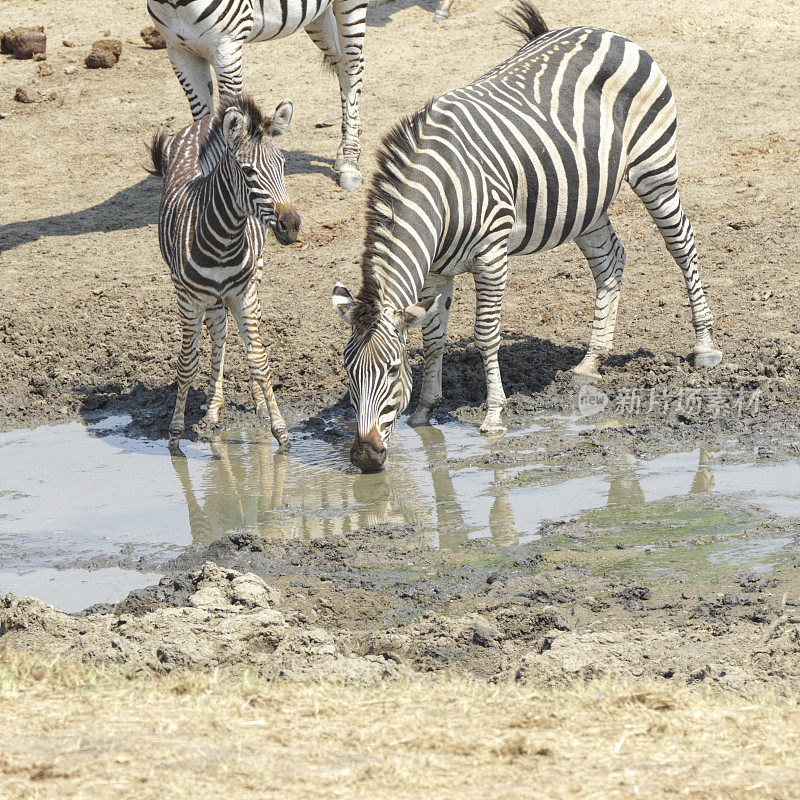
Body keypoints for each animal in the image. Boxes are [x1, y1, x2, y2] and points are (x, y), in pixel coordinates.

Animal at [146, 0, 366, 189]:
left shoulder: (227, 49)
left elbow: (227, 125)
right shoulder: (180, 52)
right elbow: (202, 122)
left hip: (351, 6)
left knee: (352, 71)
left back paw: (350, 162)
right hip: (318, 15)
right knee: (341, 65)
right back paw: (345, 146)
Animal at [150, 94, 300, 450]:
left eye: (283, 165)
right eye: (248, 172)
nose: (291, 225)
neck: (223, 241)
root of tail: (203, 121)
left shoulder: (242, 292)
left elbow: (259, 360)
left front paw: (279, 429)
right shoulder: (188, 299)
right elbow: (187, 365)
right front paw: (175, 435)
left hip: (251, 279)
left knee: (233, 334)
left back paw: (252, 403)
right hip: (205, 297)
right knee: (218, 332)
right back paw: (213, 408)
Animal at [328, 1, 720, 476]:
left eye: (390, 370)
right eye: (347, 372)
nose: (366, 458)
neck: (442, 197)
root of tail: (603, 31)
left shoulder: (491, 255)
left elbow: (486, 334)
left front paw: (495, 415)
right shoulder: (436, 270)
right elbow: (434, 336)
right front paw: (424, 411)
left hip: (655, 166)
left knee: (682, 245)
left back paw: (704, 346)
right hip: (585, 201)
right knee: (610, 259)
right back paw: (592, 360)